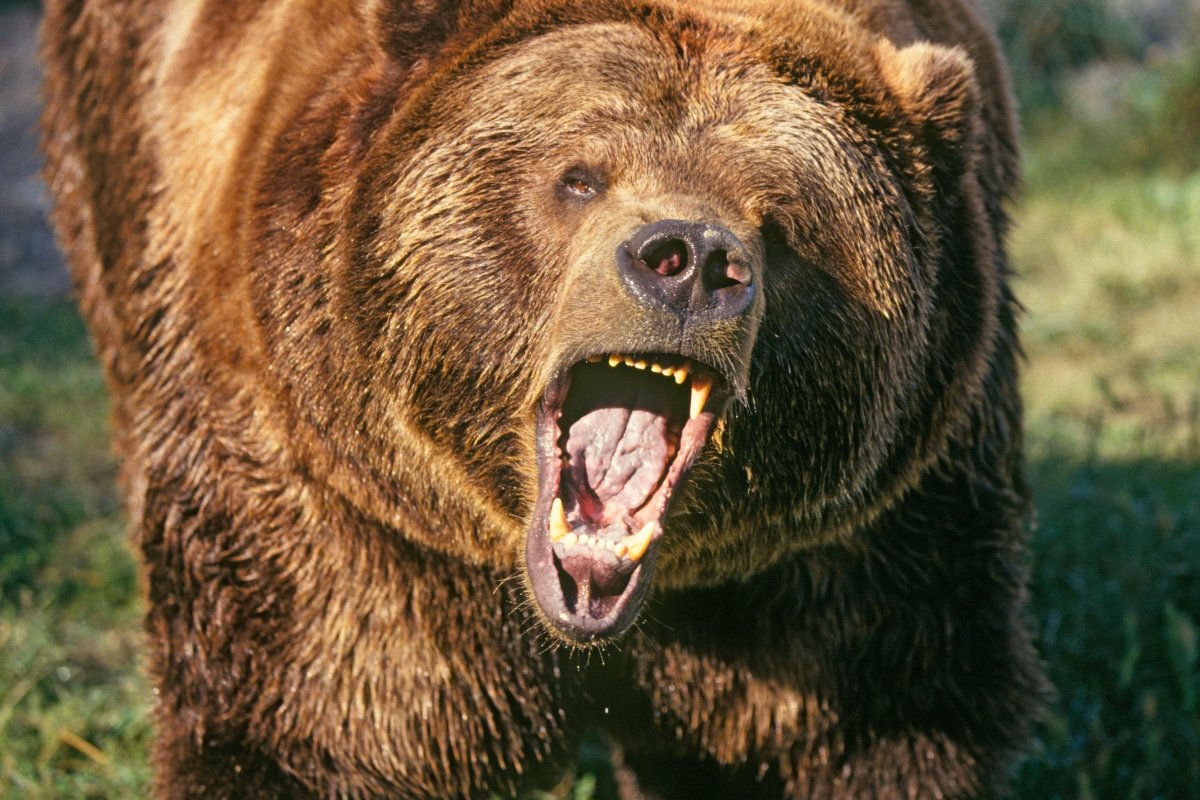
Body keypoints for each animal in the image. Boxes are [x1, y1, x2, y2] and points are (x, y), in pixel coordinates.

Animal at [41, 0, 1048, 797]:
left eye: (786, 219)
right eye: (579, 176)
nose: (690, 260)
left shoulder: (858, 543)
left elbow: (874, 728)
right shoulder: (345, 518)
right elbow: (310, 731)